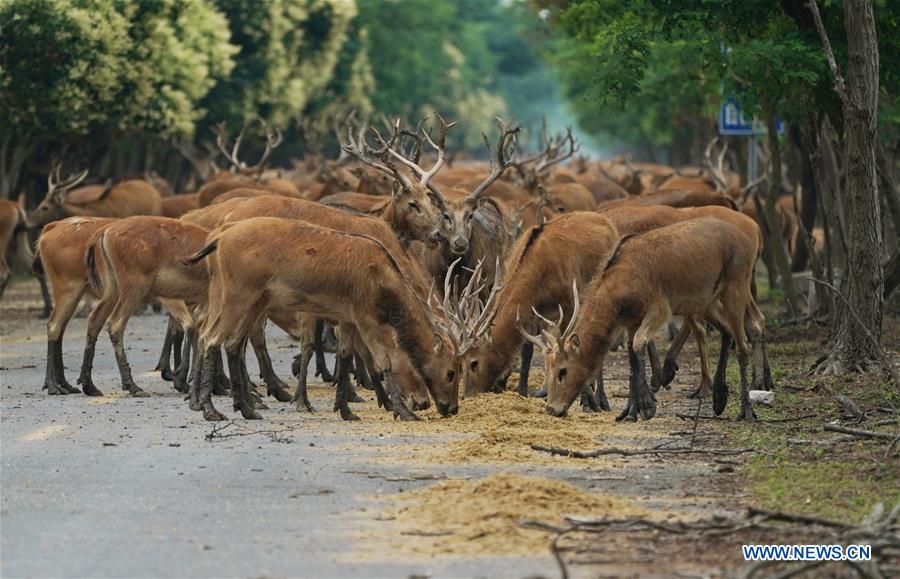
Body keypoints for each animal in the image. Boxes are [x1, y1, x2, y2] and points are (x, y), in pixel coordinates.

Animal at [532, 218, 768, 422]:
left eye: (563, 370)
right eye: (548, 369)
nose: (552, 408)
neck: (620, 290)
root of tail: (753, 236)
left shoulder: (659, 308)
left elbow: (639, 344)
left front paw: (647, 406)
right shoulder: (631, 319)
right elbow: (632, 357)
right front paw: (630, 411)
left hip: (735, 287)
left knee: (744, 344)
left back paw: (746, 410)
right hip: (705, 301)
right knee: (733, 329)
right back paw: (720, 398)